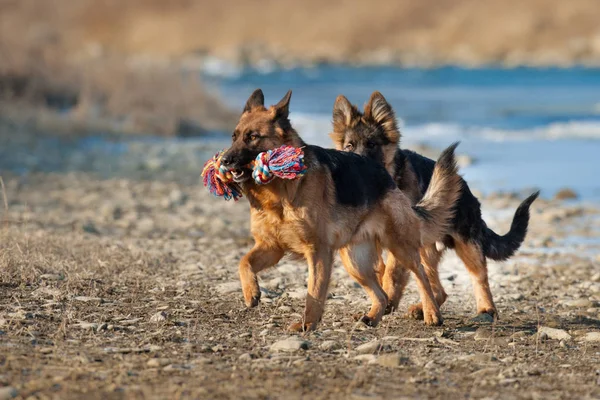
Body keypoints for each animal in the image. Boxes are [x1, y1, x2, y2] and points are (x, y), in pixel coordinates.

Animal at [220, 90, 460, 332]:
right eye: (234, 136)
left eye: (252, 137)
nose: (224, 160)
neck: (279, 192)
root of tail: (386, 176)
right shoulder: (271, 247)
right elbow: (243, 262)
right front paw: (251, 292)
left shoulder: (318, 251)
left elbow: (315, 292)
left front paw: (307, 324)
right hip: (355, 261)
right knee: (382, 294)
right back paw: (372, 317)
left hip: (400, 247)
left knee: (421, 276)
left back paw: (431, 312)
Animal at [330, 91, 540, 322]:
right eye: (349, 146)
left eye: (371, 144)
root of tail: (466, 190)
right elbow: (380, 269)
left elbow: (391, 272)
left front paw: (388, 300)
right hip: (428, 250)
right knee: (438, 289)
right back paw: (422, 309)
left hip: (464, 245)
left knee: (478, 277)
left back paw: (486, 309)